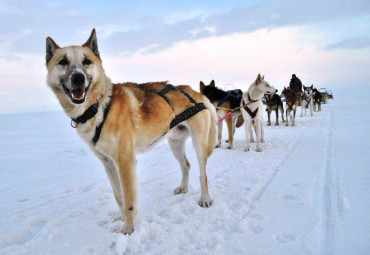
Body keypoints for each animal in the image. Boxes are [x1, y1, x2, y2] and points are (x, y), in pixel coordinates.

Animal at [45, 29, 217, 235]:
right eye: (63, 61)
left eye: (87, 61)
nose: (78, 78)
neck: (99, 106)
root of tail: (195, 93)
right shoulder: (108, 164)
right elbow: (118, 196)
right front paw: (121, 219)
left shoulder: (125, 163)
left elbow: (128, 200)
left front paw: (127, 229)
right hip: (175, 144)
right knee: (186, 165)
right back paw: (183, 188)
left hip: (199, 144)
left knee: (203, 174)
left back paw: (205, 198)